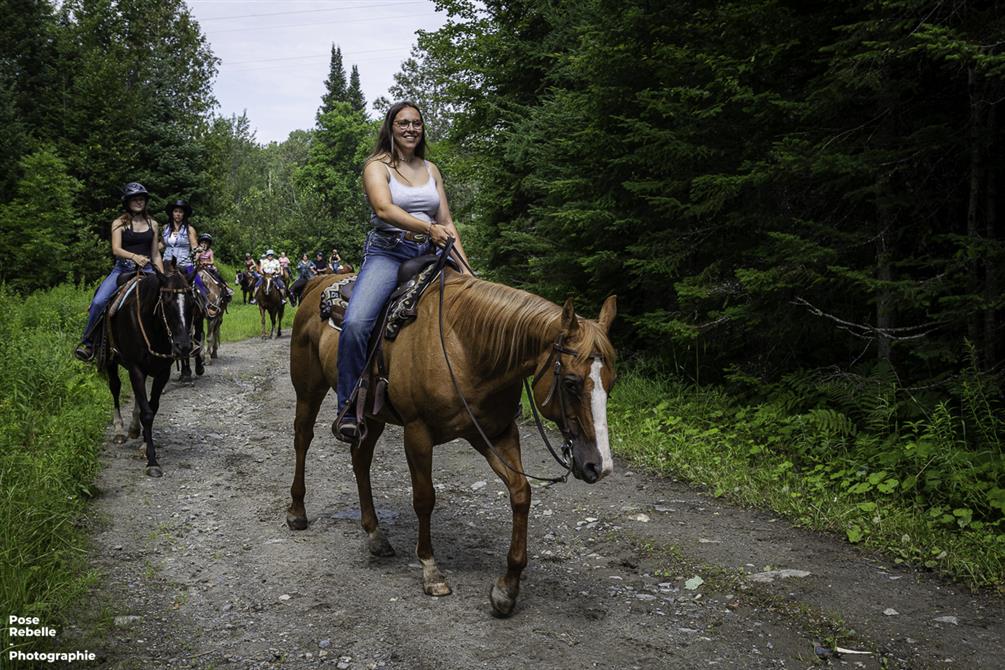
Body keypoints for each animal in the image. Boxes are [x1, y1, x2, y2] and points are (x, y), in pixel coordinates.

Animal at [99, 265, 197, 476]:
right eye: (166, 301)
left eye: (192, 303)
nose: (184, 346)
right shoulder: (135, 368)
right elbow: (147, 412)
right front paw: (152, 461)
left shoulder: (162, 372)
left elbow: (152, 407)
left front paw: (144, 443)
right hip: (111, 361)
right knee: (115, 388)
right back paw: (119, 430)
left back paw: (134, 428)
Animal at [291, 269, 615, 614]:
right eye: (570, 383)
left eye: (611, 383)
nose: (599, 466)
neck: (465, 347)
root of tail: (318, 281)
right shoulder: (417, 433)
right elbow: (424, 499)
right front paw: (431, 570)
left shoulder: (495, 432)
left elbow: (521, 493)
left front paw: (507, 588)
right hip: (308, 390)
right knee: (303, 439)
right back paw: (297, 512)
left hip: (373, 416)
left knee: (360, 459)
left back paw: (375, 535)